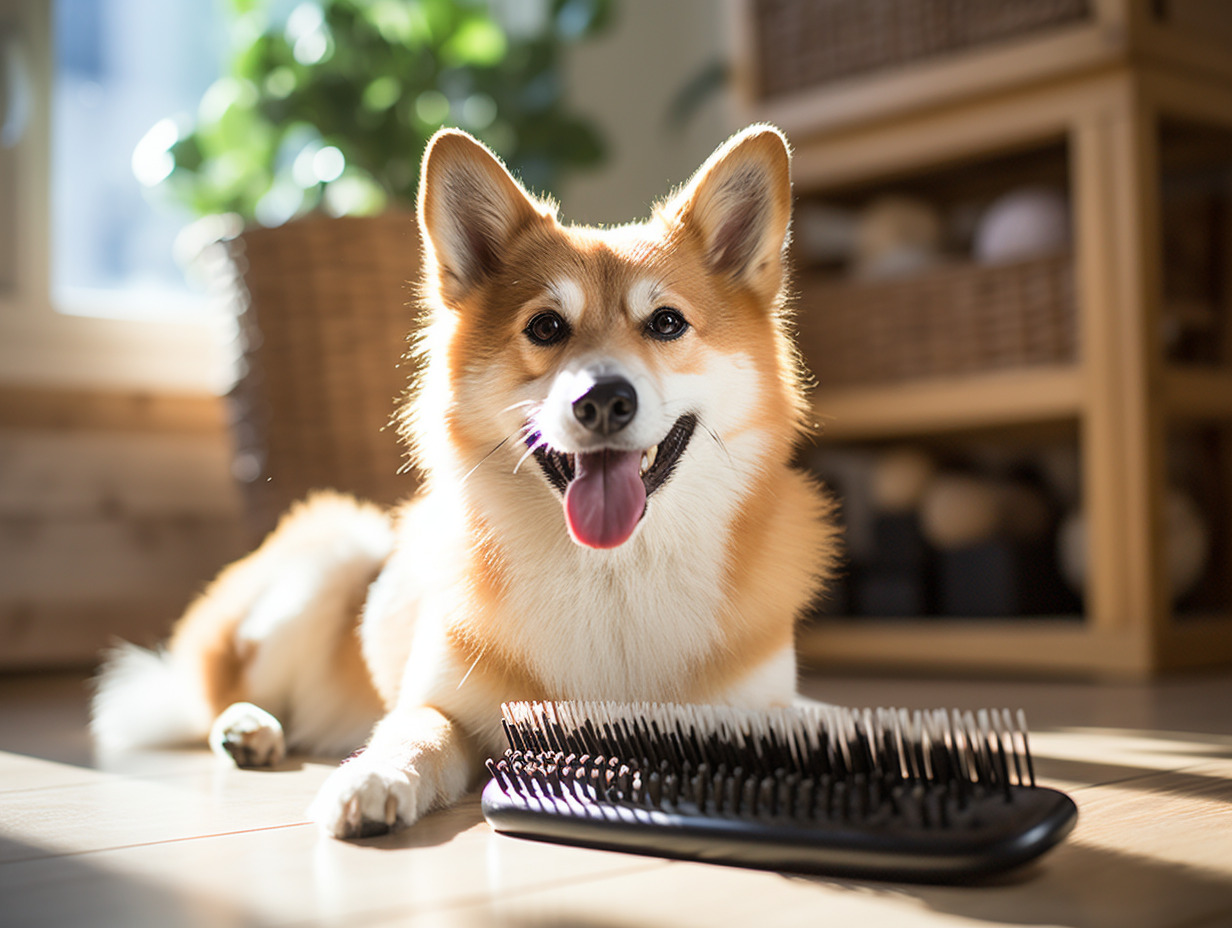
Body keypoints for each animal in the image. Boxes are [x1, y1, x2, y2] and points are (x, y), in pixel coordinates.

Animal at [89, 119, 837, 838]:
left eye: (667, 322)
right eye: (546, 326)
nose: (603, 401)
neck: (612, 574)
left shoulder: (749, 708)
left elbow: (811, 719)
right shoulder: (449, 701)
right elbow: (416, 731)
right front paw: (374, 776)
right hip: (333, 556)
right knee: (219, 692)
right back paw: (248, 726)